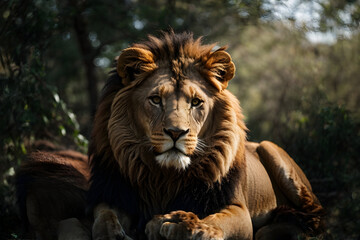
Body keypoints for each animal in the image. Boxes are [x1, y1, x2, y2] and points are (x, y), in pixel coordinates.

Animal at [15, 31, 324, 240]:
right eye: (155, 100)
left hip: (273, 151)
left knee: (314, 217)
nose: (176, 132)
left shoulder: (237, 209)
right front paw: (115, 233)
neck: (165, 177)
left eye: (196, 102)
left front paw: (180, 223)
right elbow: (96, 219)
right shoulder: (115, 194)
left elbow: (214, 224)